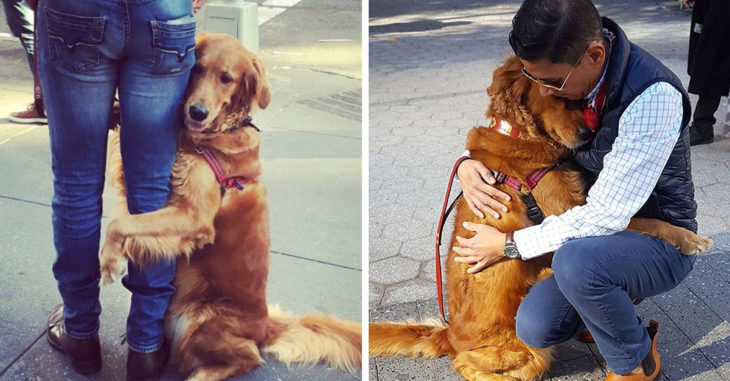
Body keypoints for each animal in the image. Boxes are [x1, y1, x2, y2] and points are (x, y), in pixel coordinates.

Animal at [98, 34, 360, 378]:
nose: (197, 112)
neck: (217, 133)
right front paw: (114, 109)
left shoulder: (194, 216)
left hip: (196, 320)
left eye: (227, 79)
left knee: (248, 356)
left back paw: (201, 374)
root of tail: (266, 327)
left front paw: (109, 261)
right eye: (196, 69)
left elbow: (120, 223)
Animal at [366, 55, 708, 378]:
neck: (521, 135)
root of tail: (449, 334)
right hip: (527, 349)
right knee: (467, 363)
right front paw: (689, 238)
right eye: (557, 97)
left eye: (579, 100)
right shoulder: (565, 210)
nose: (586, 133)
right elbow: (642, 221)